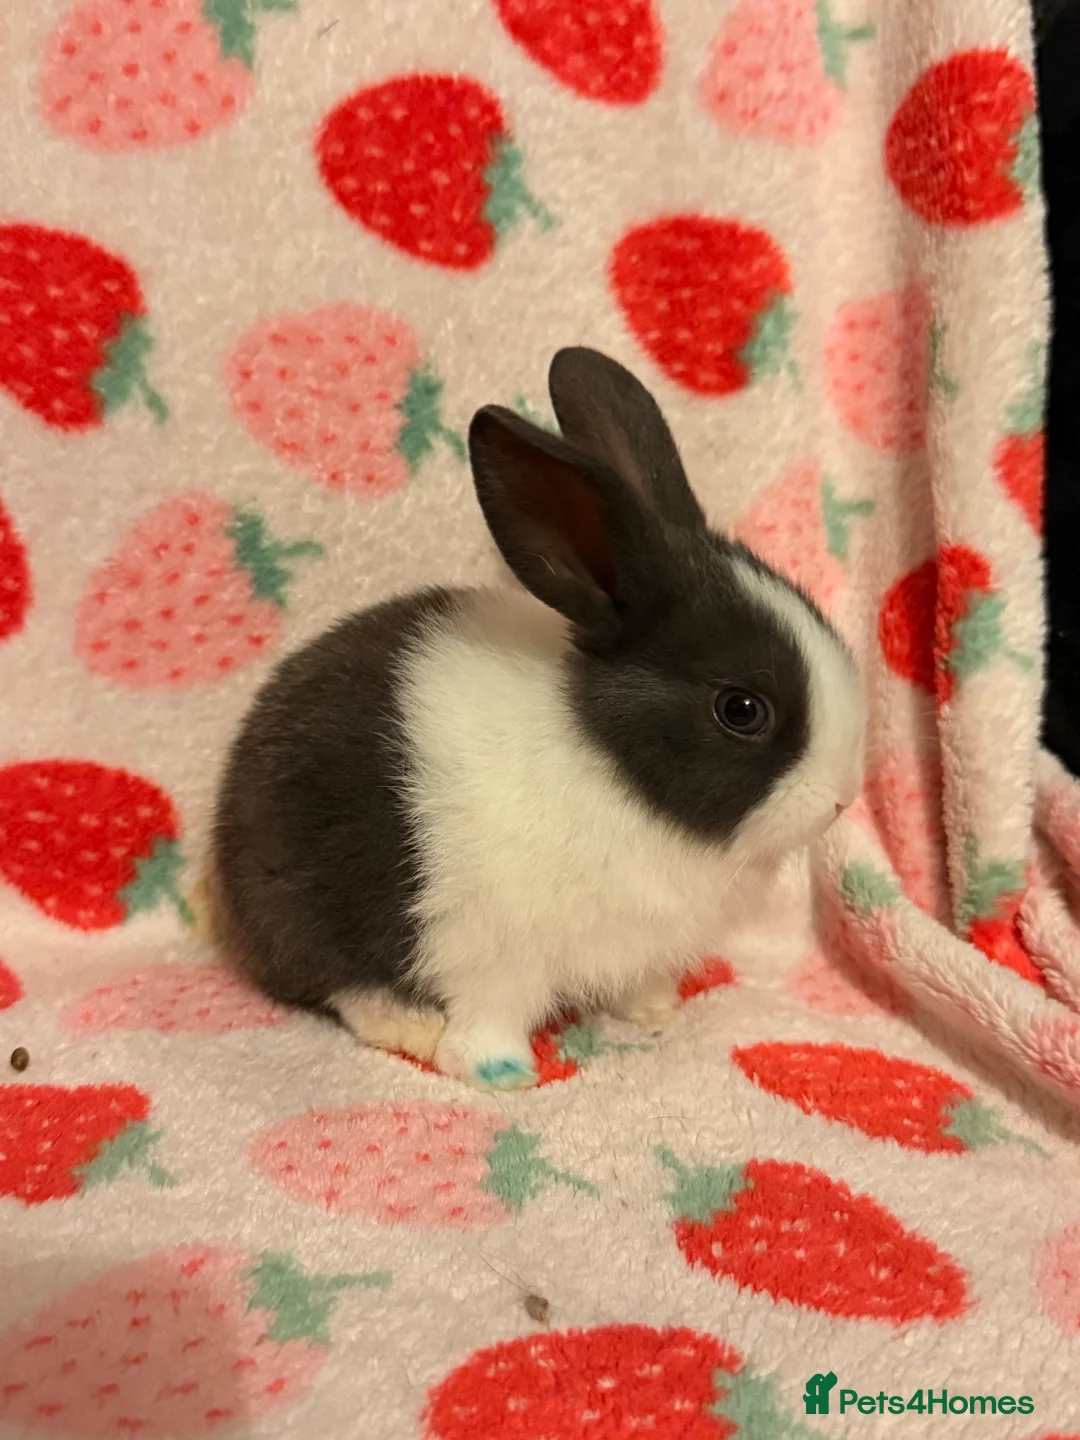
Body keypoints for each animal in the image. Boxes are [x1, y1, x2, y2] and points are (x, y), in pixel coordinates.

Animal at [210, 346, 865, 1089]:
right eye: (741, 710)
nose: (843, 799)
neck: (614, 771)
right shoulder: (491, 951)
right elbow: (490, 1013)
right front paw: (499, 1073)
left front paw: (656, 1011)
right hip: (306, 903)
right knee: (342, 984)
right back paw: (411, 1027)